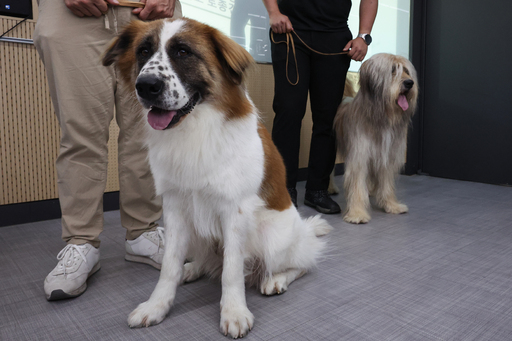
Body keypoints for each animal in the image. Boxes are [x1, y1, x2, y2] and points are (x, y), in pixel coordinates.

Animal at [102, 17, 332, 338]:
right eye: (143, 51)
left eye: (183, 52)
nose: (146, 86)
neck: (195, 128)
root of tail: (301, 230)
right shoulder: (175, 208)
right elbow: (170, 265)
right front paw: (157, 305)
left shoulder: (234, 211)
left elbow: (232, 270)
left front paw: (234, 311)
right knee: (208, 260)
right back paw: (192, 269)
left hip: (272, 238)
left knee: (301, 262)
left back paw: (276, 279)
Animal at [334, 52, 418, 223]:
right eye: (392, 70)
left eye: (407, 71)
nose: (410, 83)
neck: (382, 117)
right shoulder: (359, 155)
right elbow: (357, 184)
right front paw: (357, 213)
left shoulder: (387, 154)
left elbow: (386, 182)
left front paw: (392, 205)